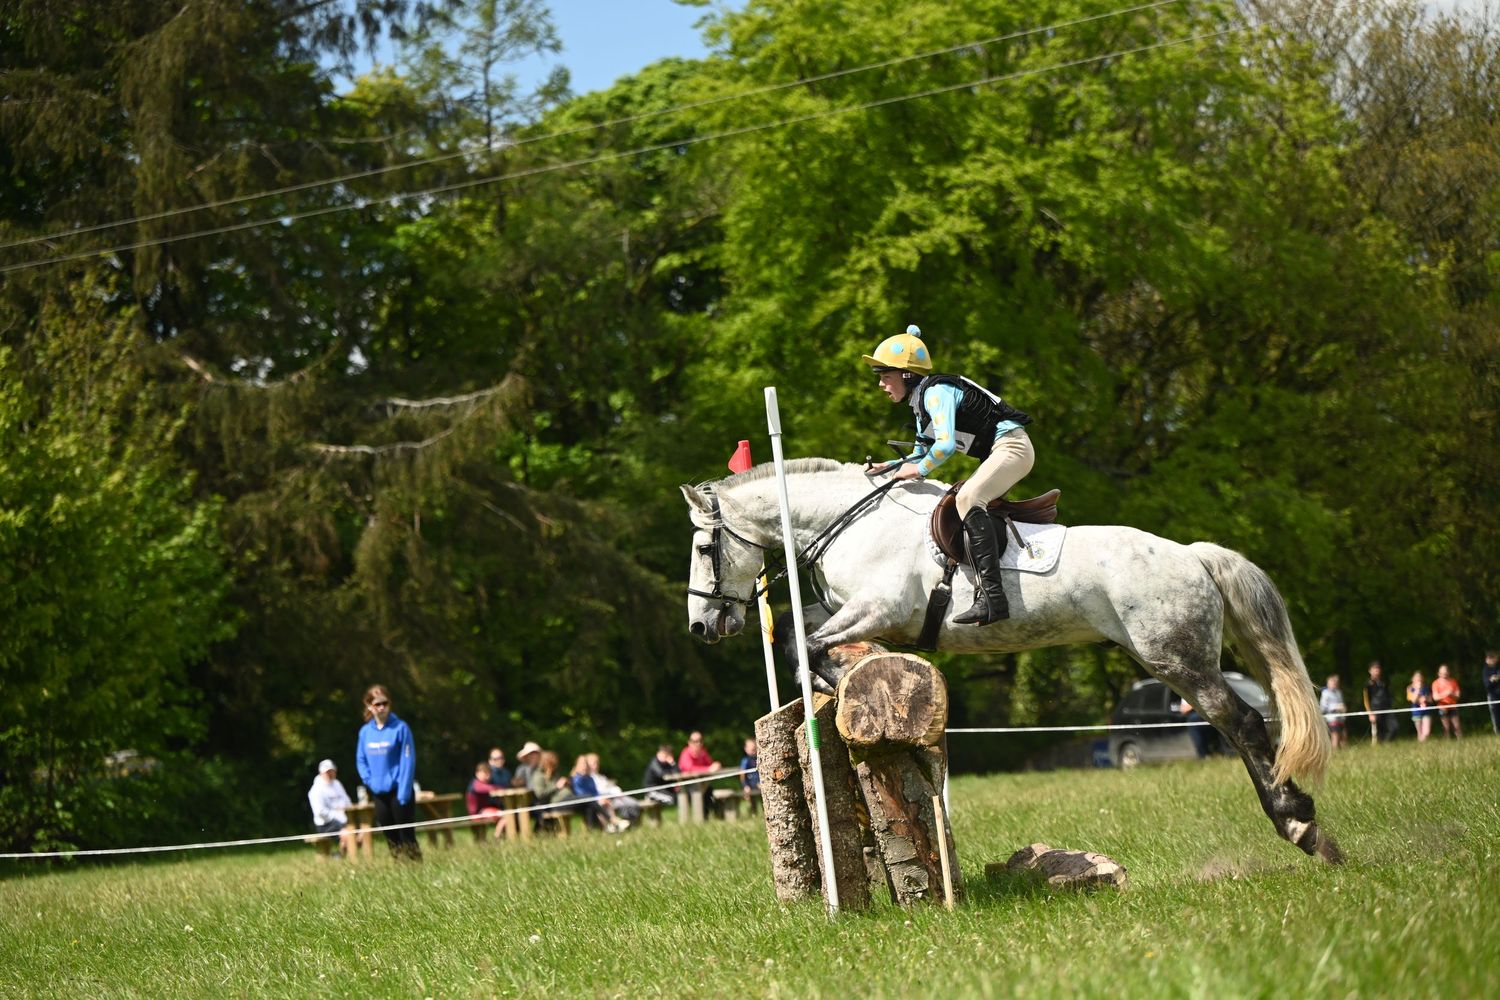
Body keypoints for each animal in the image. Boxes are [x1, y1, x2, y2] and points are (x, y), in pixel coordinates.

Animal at [681, 458, 1341, 863]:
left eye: (704, 547)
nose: (701, 627)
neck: (848, 523)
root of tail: (1192, 554)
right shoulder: (854, 610)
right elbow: (799, 641)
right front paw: (856, 683)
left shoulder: (880, 607)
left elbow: (805, 647)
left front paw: (853, 683)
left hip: (1177, 659)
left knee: (1244, 724)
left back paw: (1301, 826)